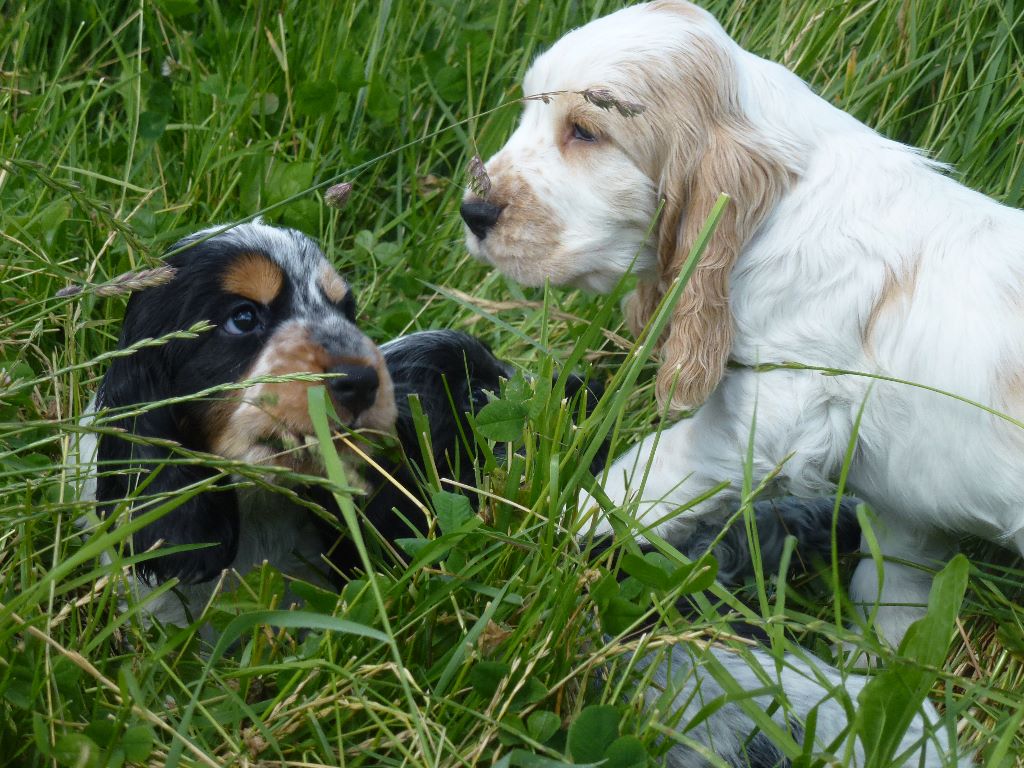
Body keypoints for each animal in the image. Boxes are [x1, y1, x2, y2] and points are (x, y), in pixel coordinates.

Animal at [462, 0, 1024, 651]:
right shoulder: (907, 505)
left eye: (586, 131)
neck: (783, 211)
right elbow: (892, 588)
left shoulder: (764, 420)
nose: (472, 211)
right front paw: (871, 659)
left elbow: (632, 480)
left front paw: (530, 528)